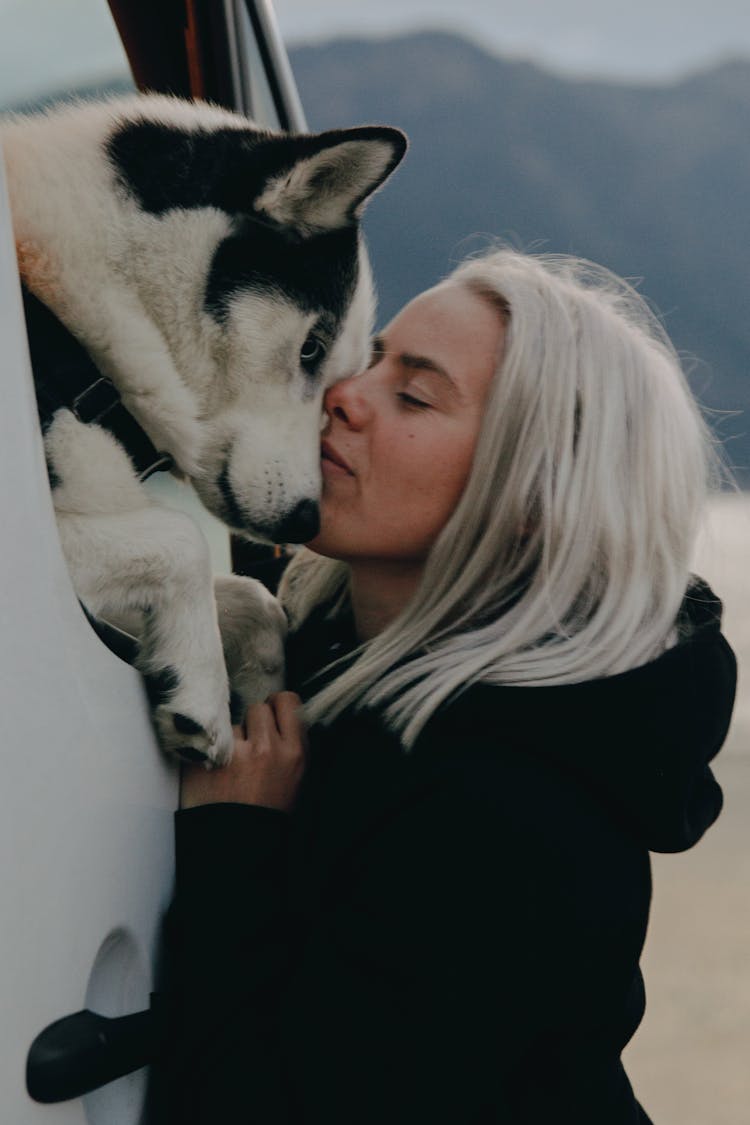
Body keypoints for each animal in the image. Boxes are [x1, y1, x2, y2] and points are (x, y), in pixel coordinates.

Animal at [2, 96, 407, 765]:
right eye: (311, 348)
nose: (307, 521)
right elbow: (182, 537)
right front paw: (204, 695)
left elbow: (255, 600)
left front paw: (254, 692)